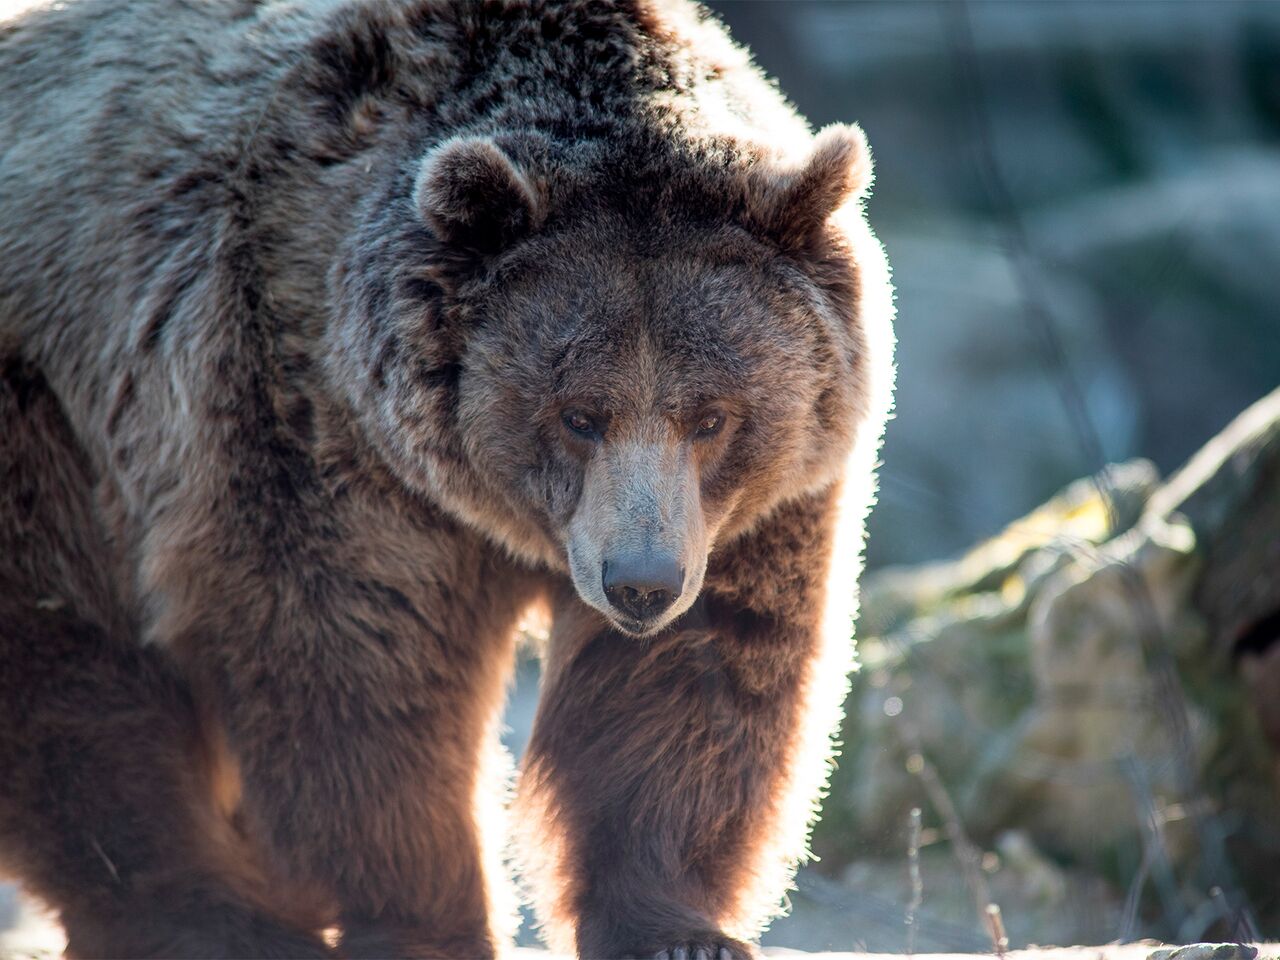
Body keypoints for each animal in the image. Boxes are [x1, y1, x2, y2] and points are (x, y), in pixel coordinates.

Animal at [0, 0, 896, 957]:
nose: (641, 584)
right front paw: (427, 917)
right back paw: (210, 916)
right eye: (579, 413)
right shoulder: (310, 411)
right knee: (69, 666)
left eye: (712, 416)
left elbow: (696, 675)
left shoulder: (750, 508)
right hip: (53, 413)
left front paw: (675, 926)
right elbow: (358, 664)